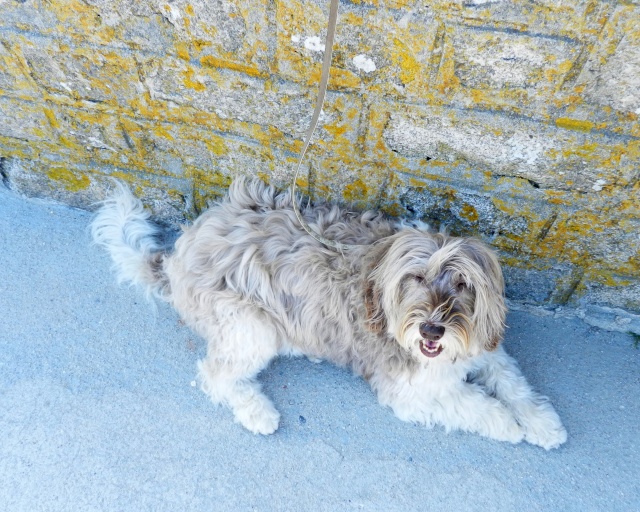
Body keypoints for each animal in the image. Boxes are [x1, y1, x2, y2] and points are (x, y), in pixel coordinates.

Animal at [92, 179, 568, 448]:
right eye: (415, 278)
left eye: (463, 284)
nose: (432, 329)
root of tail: (178, 254)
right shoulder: (409, 392)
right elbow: (471, 404)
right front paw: (507, 424)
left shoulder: (486, 349)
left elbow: (514, 384)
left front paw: (543, 423)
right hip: (251, 326)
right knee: (215, 374)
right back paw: (257, 412)